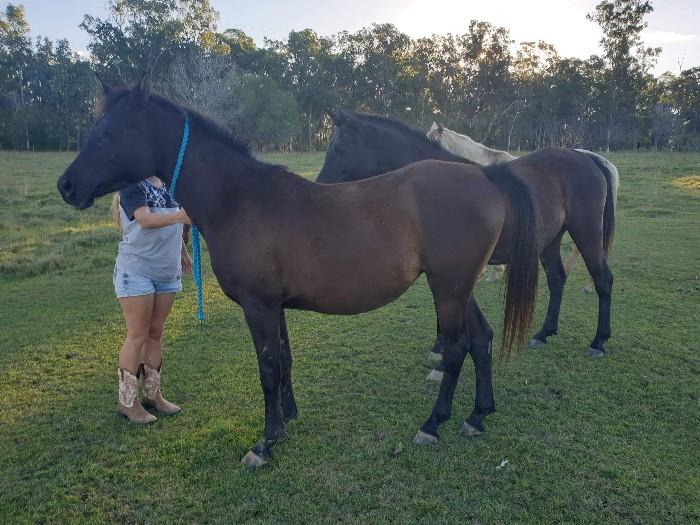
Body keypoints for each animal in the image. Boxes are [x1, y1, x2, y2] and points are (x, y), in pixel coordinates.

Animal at [57, 79, 541, 468]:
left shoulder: (258, 307)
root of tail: (486, 177)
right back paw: (477, 415)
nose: (66, 185)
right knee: (480, 339)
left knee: (457, 347)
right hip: (458, 288)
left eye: (107, 134)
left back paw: (433, 424)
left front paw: (266, 442)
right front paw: (287, 417)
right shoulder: (277, 307)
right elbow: (284, 359)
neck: (241, 200)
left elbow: (267, 367)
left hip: (449, 288)